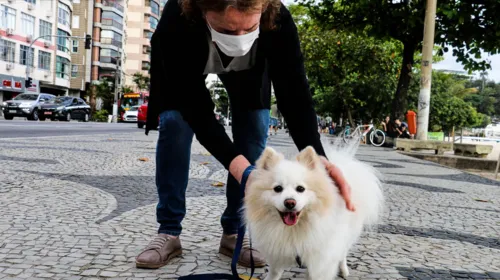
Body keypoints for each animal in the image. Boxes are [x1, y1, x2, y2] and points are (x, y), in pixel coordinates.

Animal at [245, 143, 382, 278]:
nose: (290, 202)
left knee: (342, 252)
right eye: (278, 188)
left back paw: (344, 270)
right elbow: (274, 273)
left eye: (300, 188)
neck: (294, 230)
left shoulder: (321, 261)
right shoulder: (277, 256)